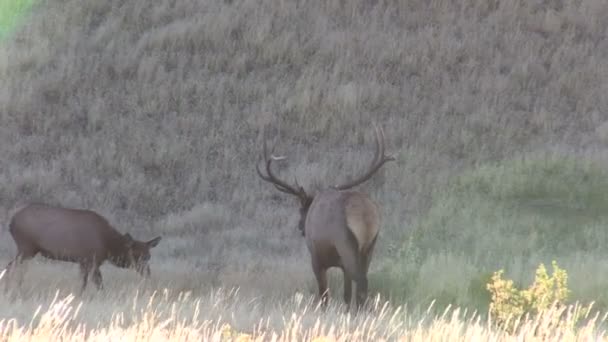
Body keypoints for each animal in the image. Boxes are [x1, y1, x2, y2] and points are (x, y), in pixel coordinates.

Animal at [1, 203, 162, 294]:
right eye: (135, 255)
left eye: (148, 256)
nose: (148, 273)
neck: (108, 245)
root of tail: (11, 223)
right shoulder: (90, 259)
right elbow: (93, 283)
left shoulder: (87, 261)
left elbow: (92, 282)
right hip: (25, 247)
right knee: (11, 267)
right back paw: (9, 290)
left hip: (28, 250)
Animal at [255, 123, 394, 310]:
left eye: (301, 210)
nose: (300, 226)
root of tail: (366, 216)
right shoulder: (342, 265)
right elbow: (346, 296)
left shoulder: (316, 258)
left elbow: (324, 296)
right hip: (370, 247)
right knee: (362, 284)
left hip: (346, 244)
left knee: (361, 282)